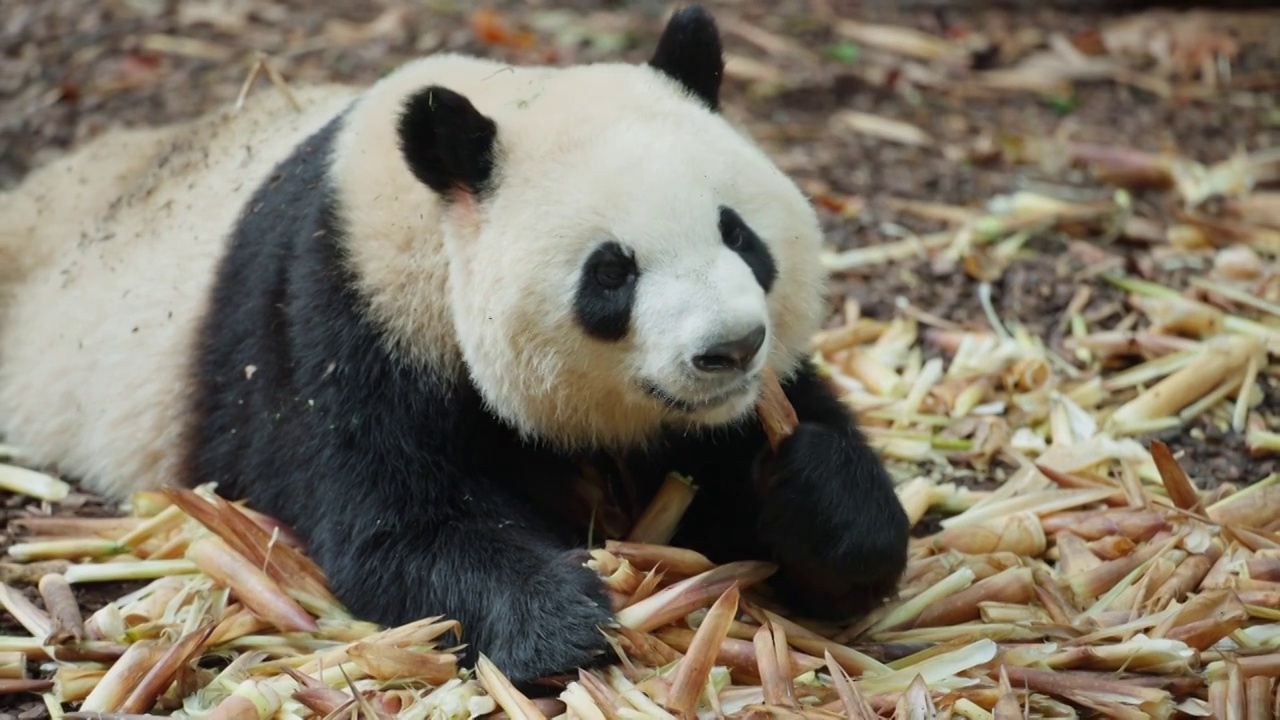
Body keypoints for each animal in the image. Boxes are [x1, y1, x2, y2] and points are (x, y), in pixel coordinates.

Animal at [0, 5, 911, 681]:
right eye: (611, 272)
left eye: (738, 233)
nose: (731, 348)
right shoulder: (334, 314)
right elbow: (397, 521)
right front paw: (559, 621)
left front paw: (816, 497)